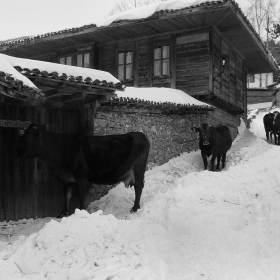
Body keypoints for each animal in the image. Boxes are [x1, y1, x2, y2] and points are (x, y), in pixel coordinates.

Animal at [15, 123, 150, 218]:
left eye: (28, 137)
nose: (16, 151)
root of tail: (140, 134)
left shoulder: (82, 176)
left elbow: (81, 195)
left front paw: (81, 211)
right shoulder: (66, 178)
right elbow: (67, 195)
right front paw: (63, 213)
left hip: (139, 169)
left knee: (138, 187)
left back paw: (135, 208)